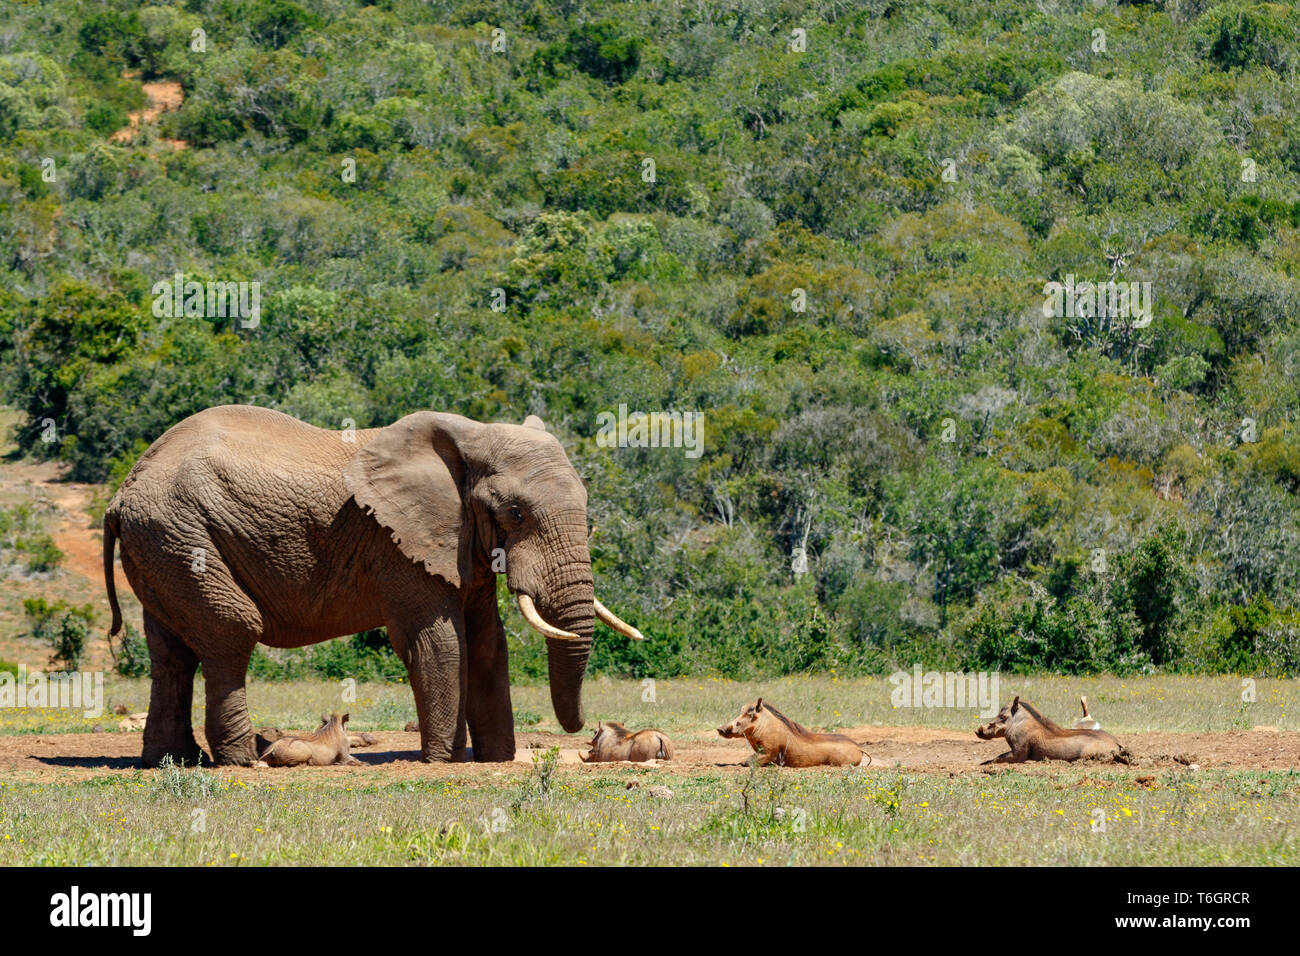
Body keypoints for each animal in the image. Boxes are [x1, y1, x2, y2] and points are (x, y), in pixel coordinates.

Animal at [102, 405, 644, 770]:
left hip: (162, 543)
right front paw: (444, 762)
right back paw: (239, 762)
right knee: (230, 633)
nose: (585, 730)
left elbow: (489, 642)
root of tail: (121, 493)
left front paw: (496, 759)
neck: (466, 439)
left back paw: (171, 761)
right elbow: (440, 643)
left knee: (171, 651)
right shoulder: (398, 544)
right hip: (181, 535)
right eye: (516, 513)